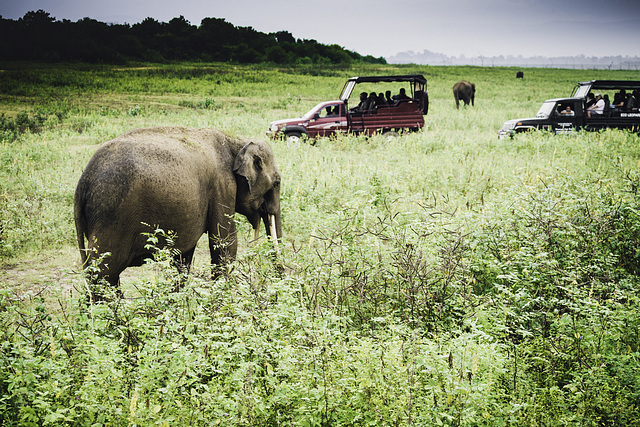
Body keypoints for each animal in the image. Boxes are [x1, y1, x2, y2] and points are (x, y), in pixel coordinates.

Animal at [74, 125, 282, 296]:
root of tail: (83, 183)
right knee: (104, 273)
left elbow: (184, 254)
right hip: (112, 217)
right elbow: (224, 242)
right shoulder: (222, 186)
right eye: (277, 183)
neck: (236, 140)